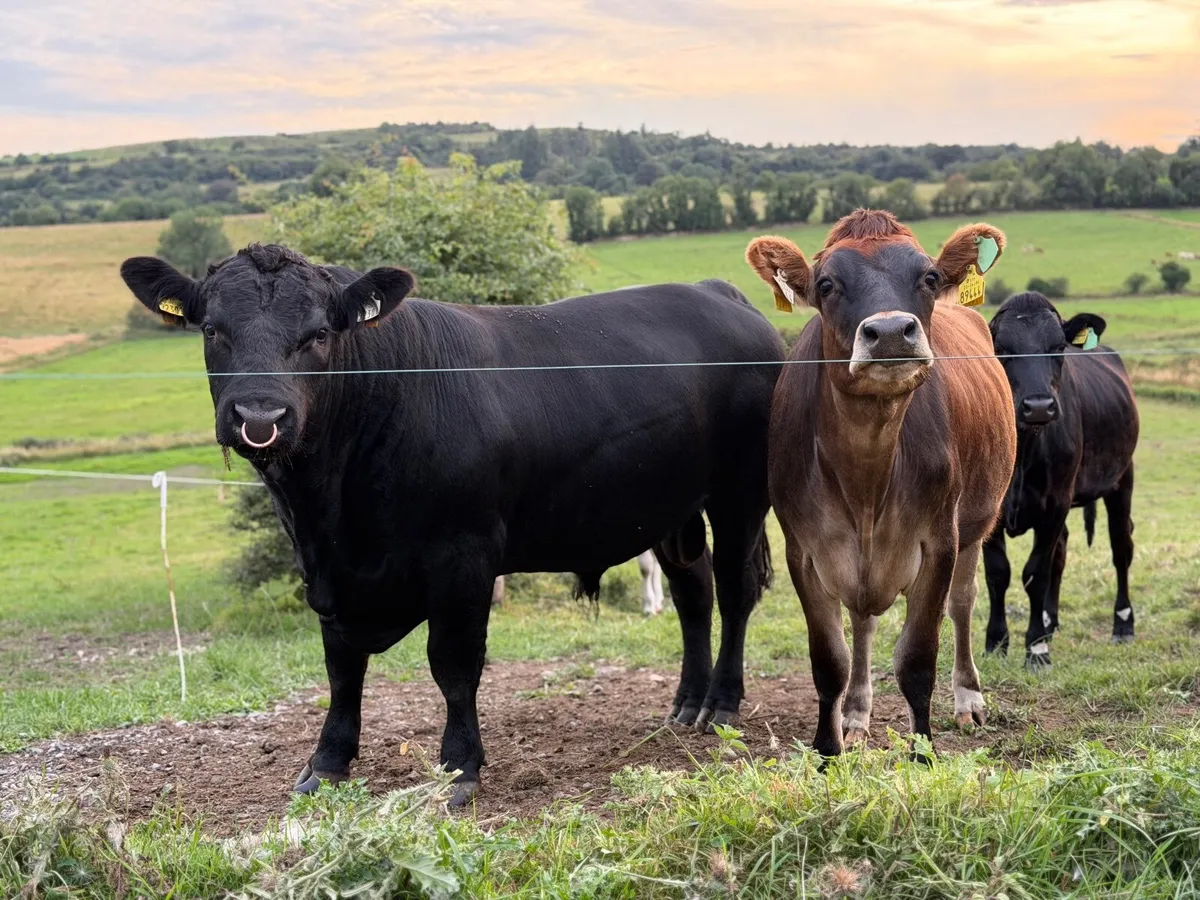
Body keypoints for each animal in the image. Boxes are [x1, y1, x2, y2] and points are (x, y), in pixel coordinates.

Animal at [745, 209, 1016, 758]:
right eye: (826, 284)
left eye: (929, 277)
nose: (891, 331)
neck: (865, 476)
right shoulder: (804, 552)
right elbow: (830, 661)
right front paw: (828, 751)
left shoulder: (939, 542)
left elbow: (917, 659)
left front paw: (923, 754)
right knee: (864, 621)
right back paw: (855, 715)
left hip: (976, 525)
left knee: (962, 604)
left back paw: (968, 699)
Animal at [983, 292, 1139, 669]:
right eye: (1002, 348)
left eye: (1057, 347)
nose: (1039, 406)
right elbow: (998, 572)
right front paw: (997, 641)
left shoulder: (1054, 505)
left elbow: (1035, 572)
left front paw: (1036, 648)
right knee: (1063, 551)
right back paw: (1050, 621)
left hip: (1121, 479)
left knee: (1121, 547)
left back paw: (1123, 624)